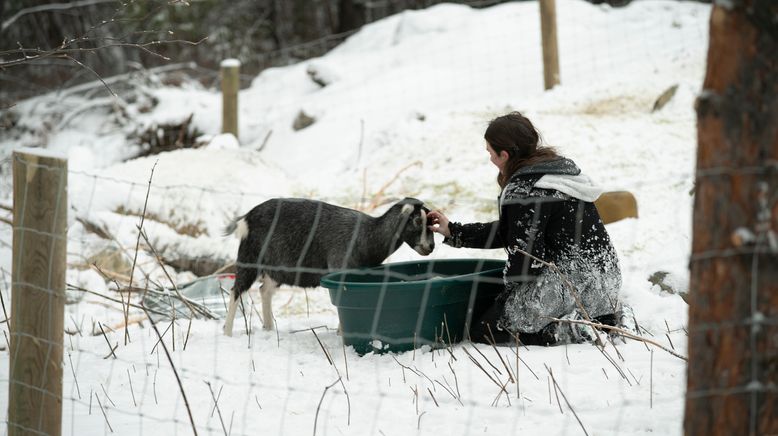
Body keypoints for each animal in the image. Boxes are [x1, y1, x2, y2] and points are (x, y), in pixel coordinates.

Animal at [221, 196, 434, 336]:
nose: (430, 246)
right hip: (250, 257)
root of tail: (247, 218)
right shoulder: (340, 270)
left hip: (278, 268)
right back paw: (227, 332)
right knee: (236, 291)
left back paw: (268, 329)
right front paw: (342, 333)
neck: (368, 235)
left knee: (265, 290)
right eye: (416, 221)